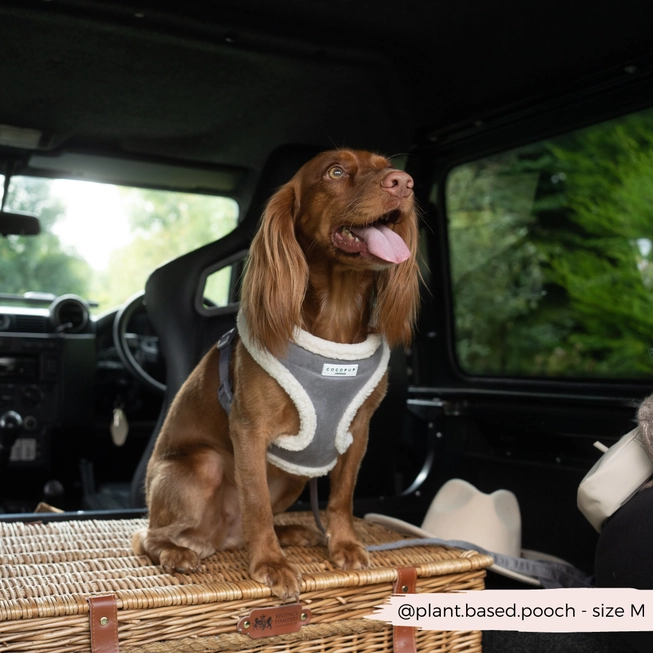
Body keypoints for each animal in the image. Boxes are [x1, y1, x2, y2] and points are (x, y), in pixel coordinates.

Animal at [133, 149, 420, 601]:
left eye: (385, 164)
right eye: (335, 171)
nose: (403, 182)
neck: (335, 321)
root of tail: (217, 537)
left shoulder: (358, 432)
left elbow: (342, 497)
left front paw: (344, 545)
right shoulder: (249, 429)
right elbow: (256, 503)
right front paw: (270, 564)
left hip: (292, 478)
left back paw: (292, 533)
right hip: (205, 465)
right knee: (148, 535)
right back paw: (177, 552)